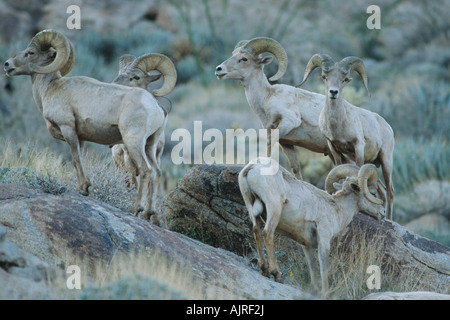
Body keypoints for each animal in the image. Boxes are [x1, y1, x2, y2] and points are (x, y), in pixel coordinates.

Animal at [3, 30, 166, 219]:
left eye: (30, 52)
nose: (7, 64)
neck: (51, 88)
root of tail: (156, 108)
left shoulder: (67, 129)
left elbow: (75, 158)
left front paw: (83, 189)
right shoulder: (79, 137)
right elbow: (80, 158)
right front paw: (85, 187)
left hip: (133, 142)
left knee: (146, 171)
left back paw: (135, 209)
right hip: (150, 145)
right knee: (156, 172)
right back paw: (148, 213)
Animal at [215, 37, 342, 180]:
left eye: (244, 59)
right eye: (233, 55)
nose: (219, 69)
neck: (267, 98)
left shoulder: (288, 122)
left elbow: (269, 149)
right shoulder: (286, 143)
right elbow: (295, 168)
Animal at [241, 158, 384, 296]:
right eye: (373, 193)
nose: (382, 212)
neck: (337, 210)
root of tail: (252, 167)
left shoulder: (307, 245)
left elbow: (312, 266)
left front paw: (314, 291)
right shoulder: (324, 240)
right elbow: (323, 266)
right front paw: (325, 292)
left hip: (250, 205)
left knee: (256, 230)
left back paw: (264, 269)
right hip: (274, 208)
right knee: (267, 233)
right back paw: (276, 273)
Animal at [298, 54, 394, 220]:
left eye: (344, 79)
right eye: (325, 77)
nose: (333, 92)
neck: (338, 125)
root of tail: (387, 126)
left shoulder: (358, 147)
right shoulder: (334, 149)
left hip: (386, 161)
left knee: (390, 192)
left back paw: (389, 218)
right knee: (382, 189)